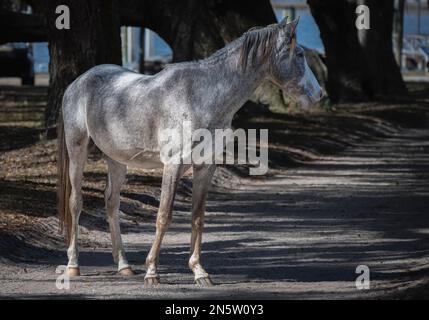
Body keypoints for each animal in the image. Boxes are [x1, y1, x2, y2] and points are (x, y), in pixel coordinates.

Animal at [58, 17, 322, 286]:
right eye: (299, 54)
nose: (318, 94)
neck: (199, 96)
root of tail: (78, 83)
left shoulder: (205, 166)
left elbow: (197, 217)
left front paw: (199, 271)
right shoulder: (172, 166)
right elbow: (164, 216)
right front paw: (152, 271)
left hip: (117, 159)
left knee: (111, 202)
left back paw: (124, 265)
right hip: (77, 149)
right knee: (75, 202)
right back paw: (73, 265)